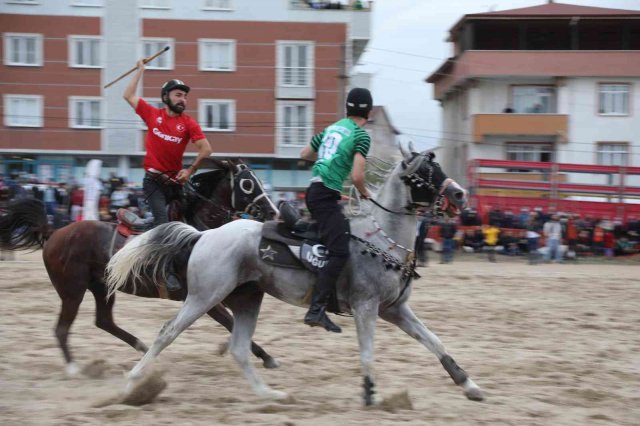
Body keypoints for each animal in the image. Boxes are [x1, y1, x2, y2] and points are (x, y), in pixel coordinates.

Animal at [0, 161, 280, 376]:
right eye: (247, 183)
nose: (274, 212)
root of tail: (54, 232)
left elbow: (236, 322)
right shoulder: (205, 299)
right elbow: (230, 322)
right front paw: (266, 356)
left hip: (102, 287)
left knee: (104, 321)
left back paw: (144, 349)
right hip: (72, 291)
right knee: (62, 329)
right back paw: (73, 368)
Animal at [106, 146, 484, 402]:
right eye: (425, 172)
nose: (459, 194)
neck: (381, 238)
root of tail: (203, 235)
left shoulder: (395, 309)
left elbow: (434, 341)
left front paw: (468, 384)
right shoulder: (367, 307)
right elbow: (368, 352)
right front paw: (369, 392)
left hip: (246, 298)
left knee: (239, 349)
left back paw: (268, 394)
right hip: (204, 297)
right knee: (167, 333)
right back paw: (133, 379)